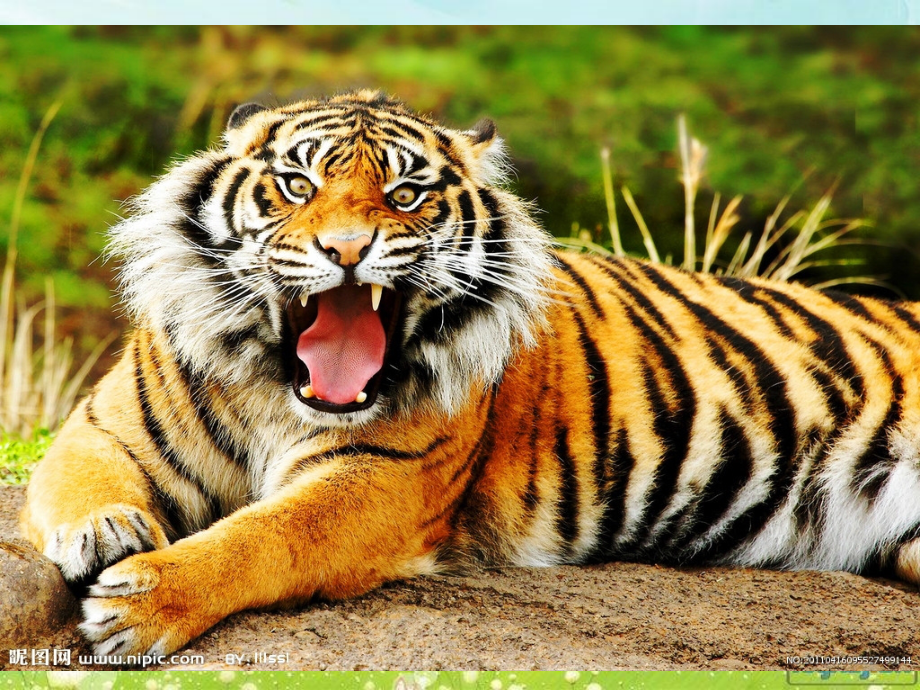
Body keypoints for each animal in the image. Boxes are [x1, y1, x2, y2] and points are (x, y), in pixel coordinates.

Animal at [19, 89, 920, 657]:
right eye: (298, 185)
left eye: (406, 194)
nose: (346, 249)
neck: (276, 387)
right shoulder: (103, 425)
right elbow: (82, 480)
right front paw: (104, 533)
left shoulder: (378, 480)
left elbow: (263, 537)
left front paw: (142, 604)